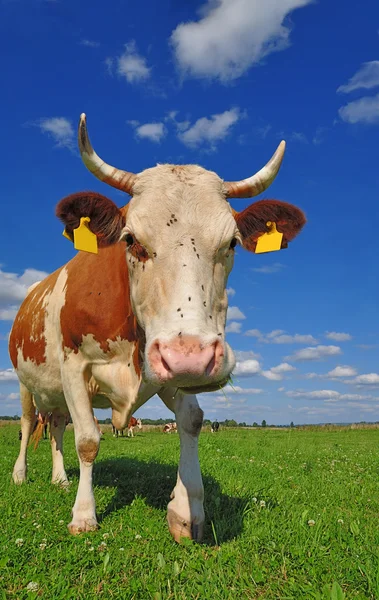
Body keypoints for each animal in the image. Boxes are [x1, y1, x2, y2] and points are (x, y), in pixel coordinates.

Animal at [8, 112, 306, 544]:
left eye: (232, 243)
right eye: (131, 240)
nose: (194, 357)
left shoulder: (168, 367)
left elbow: (192, 421)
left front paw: (187, 508)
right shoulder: (74, 366)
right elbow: (88, 441)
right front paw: (84, 515)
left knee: (58, 425)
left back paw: (61, 479)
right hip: (26, 384)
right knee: (30, 423)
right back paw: (21, 474)